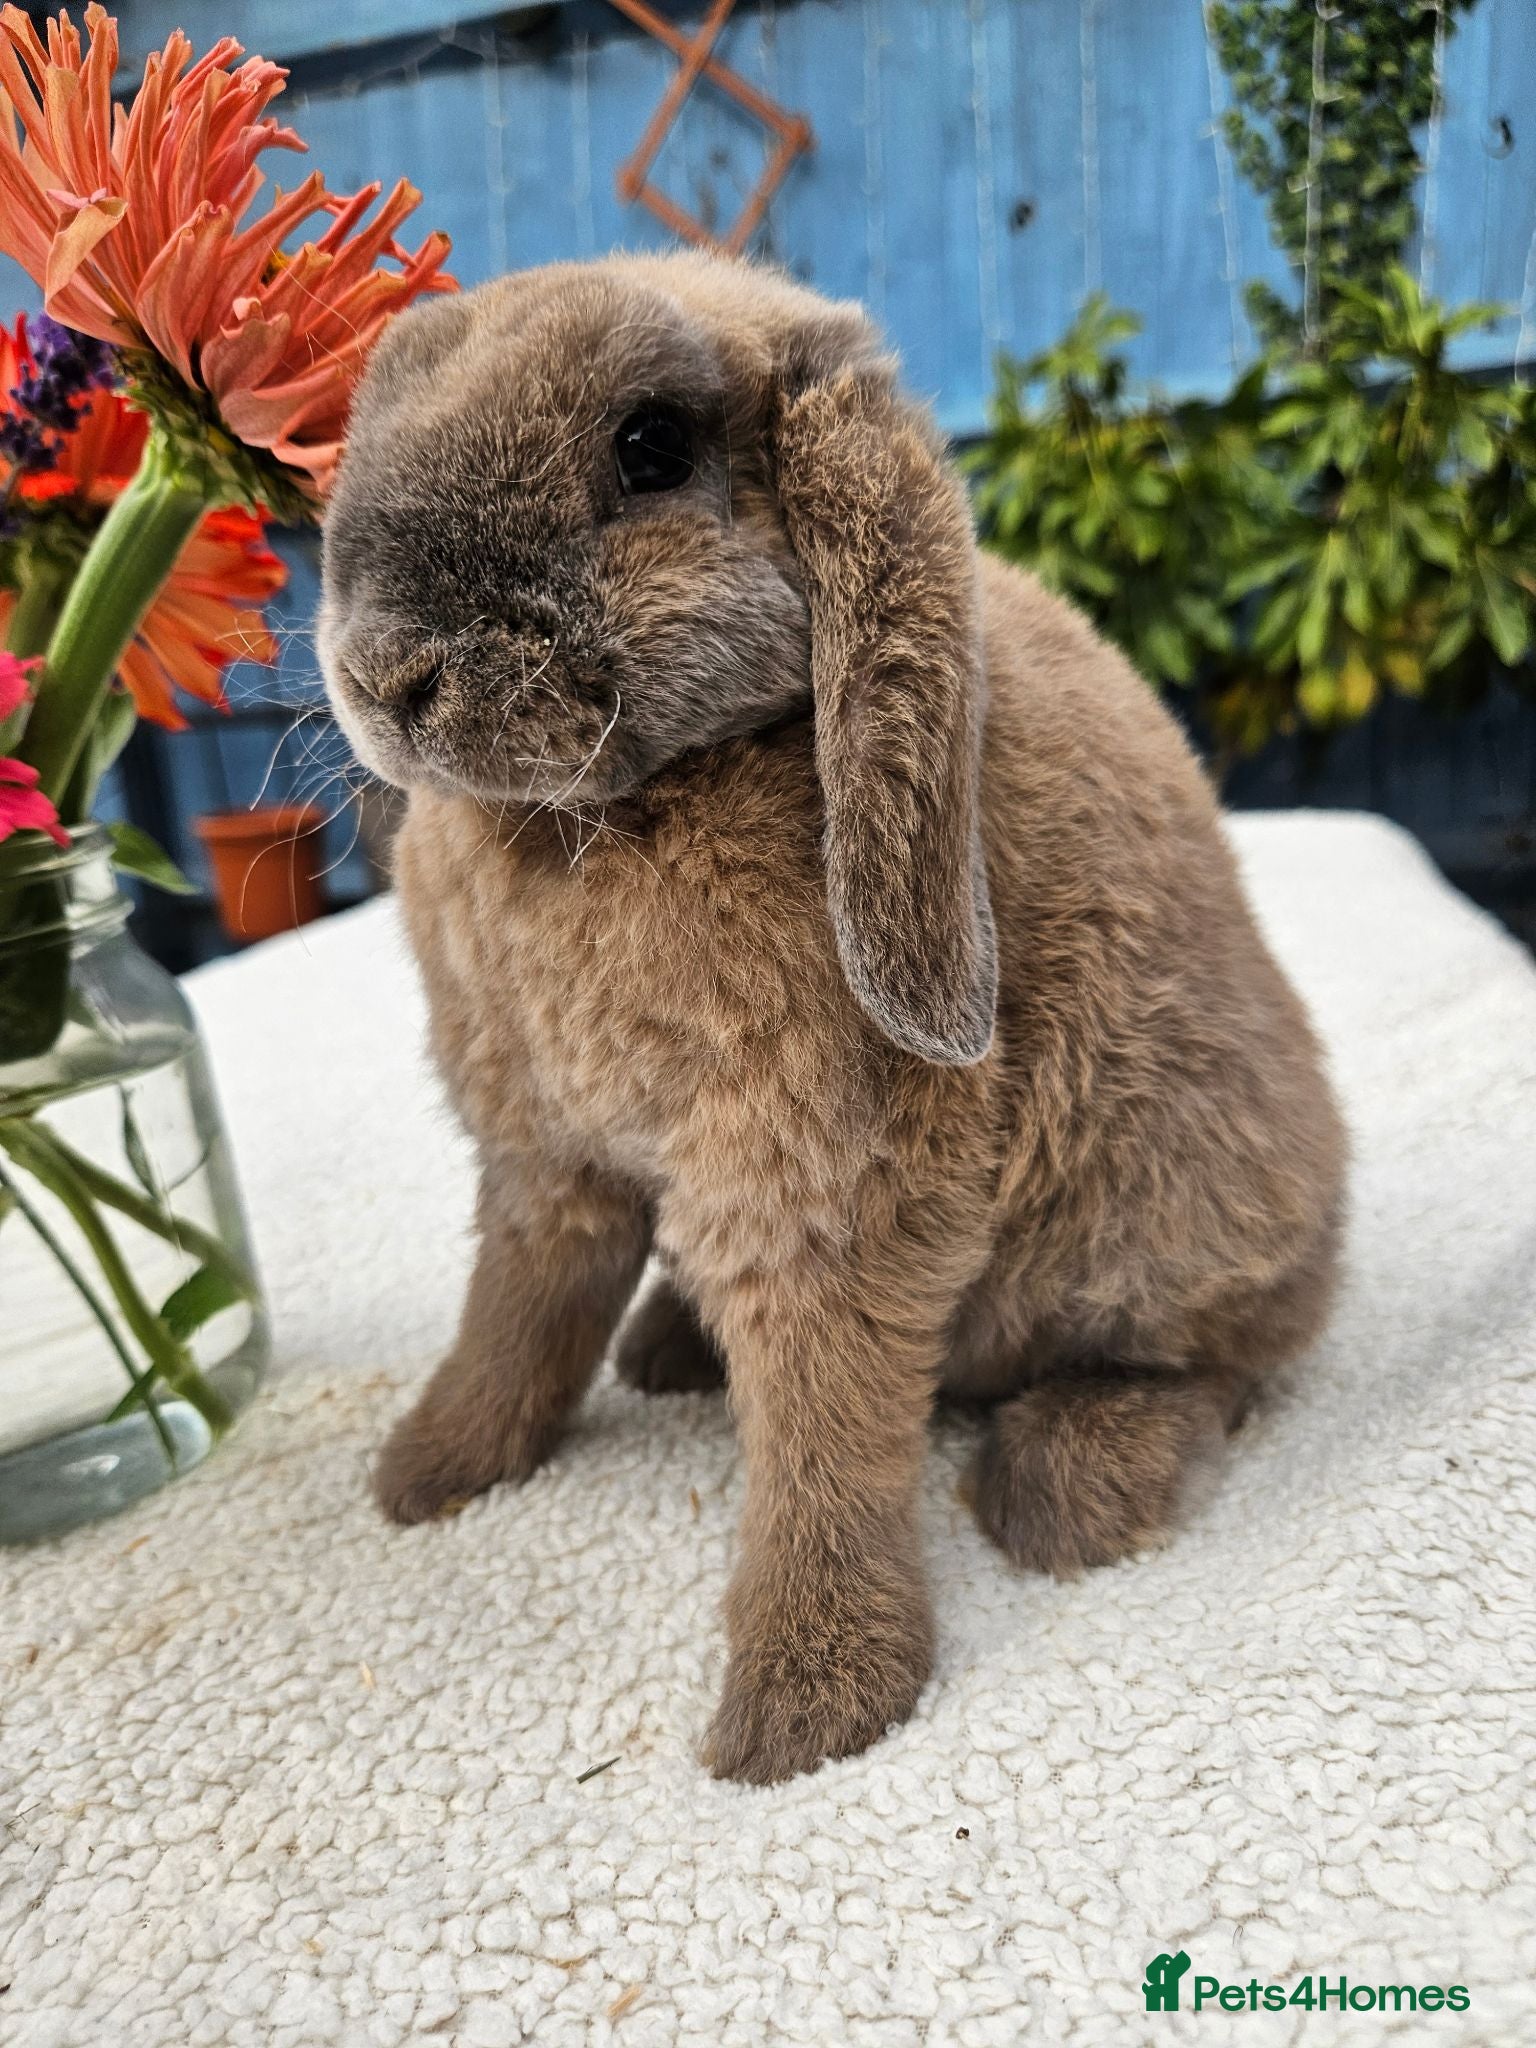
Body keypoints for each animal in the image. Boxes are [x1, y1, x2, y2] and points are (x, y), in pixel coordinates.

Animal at [318, 251, 1346, 1785]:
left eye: (649, 447)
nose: (386, 671)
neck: (600, 815)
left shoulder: (823, 1190)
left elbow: (823, 1427)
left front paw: (804, 1711)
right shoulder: (546, 1158)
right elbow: (518, 1313)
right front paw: (431, 1470)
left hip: (1172, 1222)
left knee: (1215, 1363)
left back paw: (1068, 1482)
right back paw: (670, 1346)